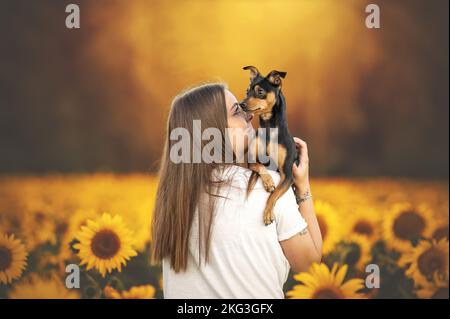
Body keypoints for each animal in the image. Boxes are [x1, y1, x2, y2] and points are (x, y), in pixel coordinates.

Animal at [239, 65, 298, 226]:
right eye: (247, 91)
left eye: (260, 91)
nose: (241, 104)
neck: (268, 128)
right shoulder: (251, 161)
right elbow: (260, 167)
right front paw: (269, 182)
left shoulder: (287, 174)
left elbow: (275, 194)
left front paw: (267, 213)